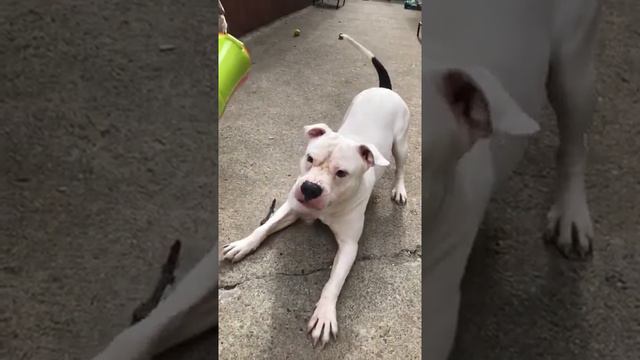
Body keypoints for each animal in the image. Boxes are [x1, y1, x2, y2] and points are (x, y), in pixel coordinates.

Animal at [90, 33, 410, 358]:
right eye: (309, 158)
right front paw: (244, 244)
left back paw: (398, 189)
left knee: (399, 166)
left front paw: (324, 313)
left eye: (341, 173)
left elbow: (333, 280)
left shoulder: (348, 245)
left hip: (400, 145)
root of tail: (384, 90)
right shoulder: (291, 207)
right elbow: (264, 227)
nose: (310, 188)